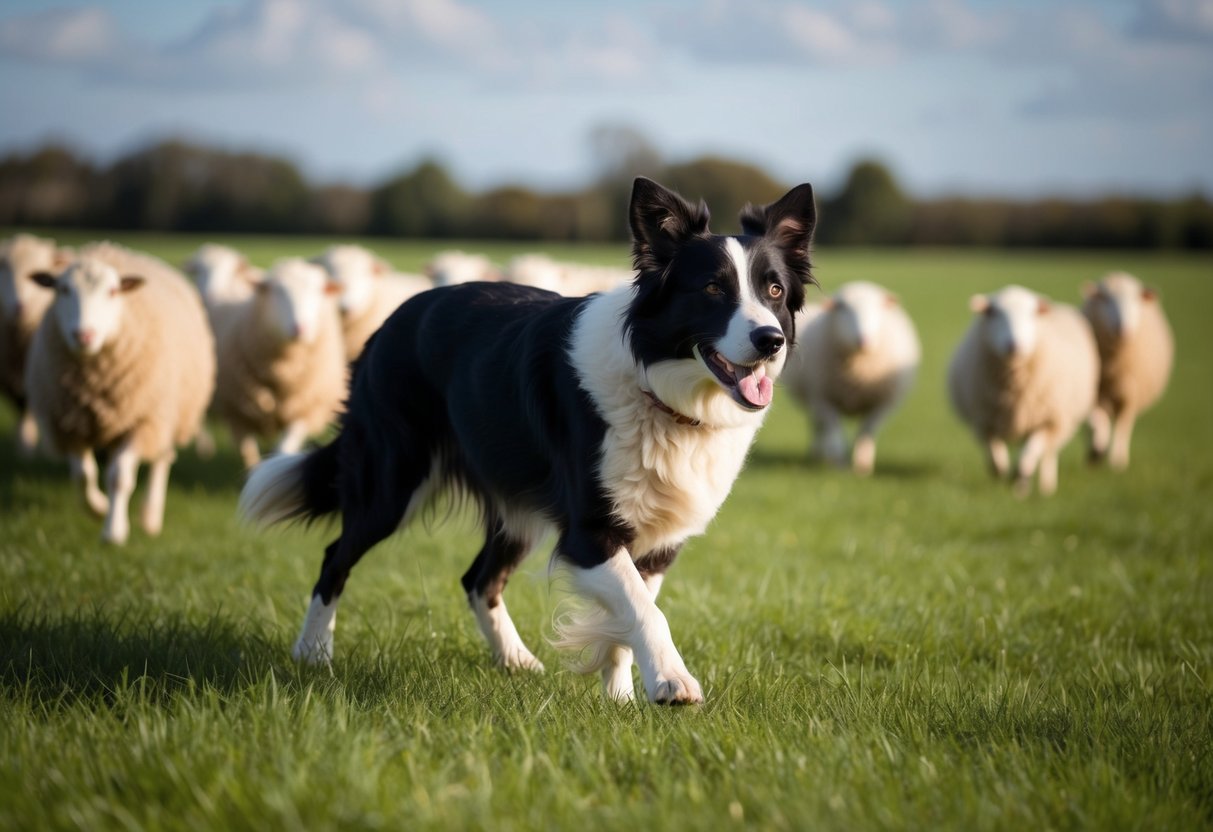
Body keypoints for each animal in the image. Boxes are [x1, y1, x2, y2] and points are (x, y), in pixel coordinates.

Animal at [24, 242, 215, 544]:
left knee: (162, 460)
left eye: (112, 291)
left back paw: (150, 517)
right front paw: (98, 508)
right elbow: (83, 475)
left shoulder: (141, 421)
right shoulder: (68, 424)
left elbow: (119, 478)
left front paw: (114, 531)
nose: (84, 335)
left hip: (167, 413)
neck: (92, 385)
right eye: (62, 289)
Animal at [213, 257, 346, 468]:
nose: (300, 328)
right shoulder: (238, 414)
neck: (283, 372)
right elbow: (248, 453)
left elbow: (283, 449)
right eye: (277, 291)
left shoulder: (303, 409)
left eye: (317, 291)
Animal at [782, 281, 920, 475]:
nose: (864, 339)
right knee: (818, 427)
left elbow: (866, 432)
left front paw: (862, 465)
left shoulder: (881, 405)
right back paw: (817, 454)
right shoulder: (824, 399)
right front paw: (838, 463)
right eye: (843, 307)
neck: (857, 374)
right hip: (813, 400)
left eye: (878, 307)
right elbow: (835, 432)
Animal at [948, 284, 1099, 496]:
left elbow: (1031, 451)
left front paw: (1019, 477)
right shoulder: (984, 420)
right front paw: (1000, 470)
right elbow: (994, 450)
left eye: (1031, 313)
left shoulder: (1048, 421)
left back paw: (1043, 486)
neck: (1014, 389)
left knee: (1046, 455)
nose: (1014, 345)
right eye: (993, 312)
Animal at [1081, 271, 1174, 470]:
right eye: (1105, 298)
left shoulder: (1131, 395)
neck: (1112, 369)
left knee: (1121, 425)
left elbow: (1122, 427)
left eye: (1134, 300)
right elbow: (1096, 420)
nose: (1122, 328)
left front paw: (1117, 462)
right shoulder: (1094, 391)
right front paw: (1097, 448)